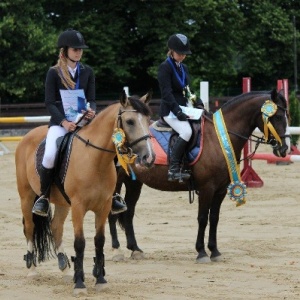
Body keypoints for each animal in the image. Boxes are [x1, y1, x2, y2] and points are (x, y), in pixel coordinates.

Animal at [14, 91, 155, 296]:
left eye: (148, 119)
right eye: (129, 121)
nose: (149, 158)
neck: (95, 160)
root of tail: (27, 136)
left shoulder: (103, 207)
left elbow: (99, 240)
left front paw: (100, 279)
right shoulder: (78, 207)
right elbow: (80, 243)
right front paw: (80, 284)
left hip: (62, 203)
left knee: (56, 227)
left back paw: (65, 269)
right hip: (27, 196)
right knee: (30, 228)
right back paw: (32, 270)